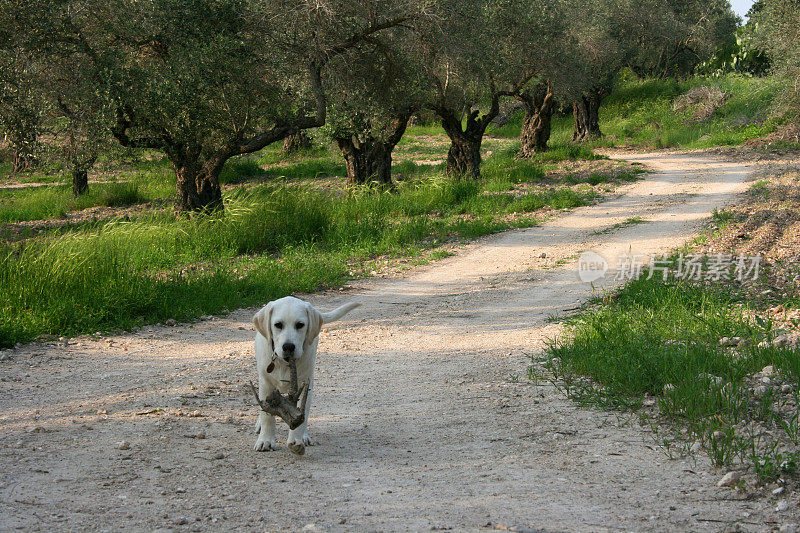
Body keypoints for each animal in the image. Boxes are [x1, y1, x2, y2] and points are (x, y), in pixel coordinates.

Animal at [253, 296, 360, 454]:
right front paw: (265, 440)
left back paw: (303, 436)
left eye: (300, 325)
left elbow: (300, 416)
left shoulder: (304, 385)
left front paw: (296, 440)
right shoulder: (267, 384)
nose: (288, 347)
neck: (284, 363)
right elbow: (267, 416)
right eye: (278, 325)